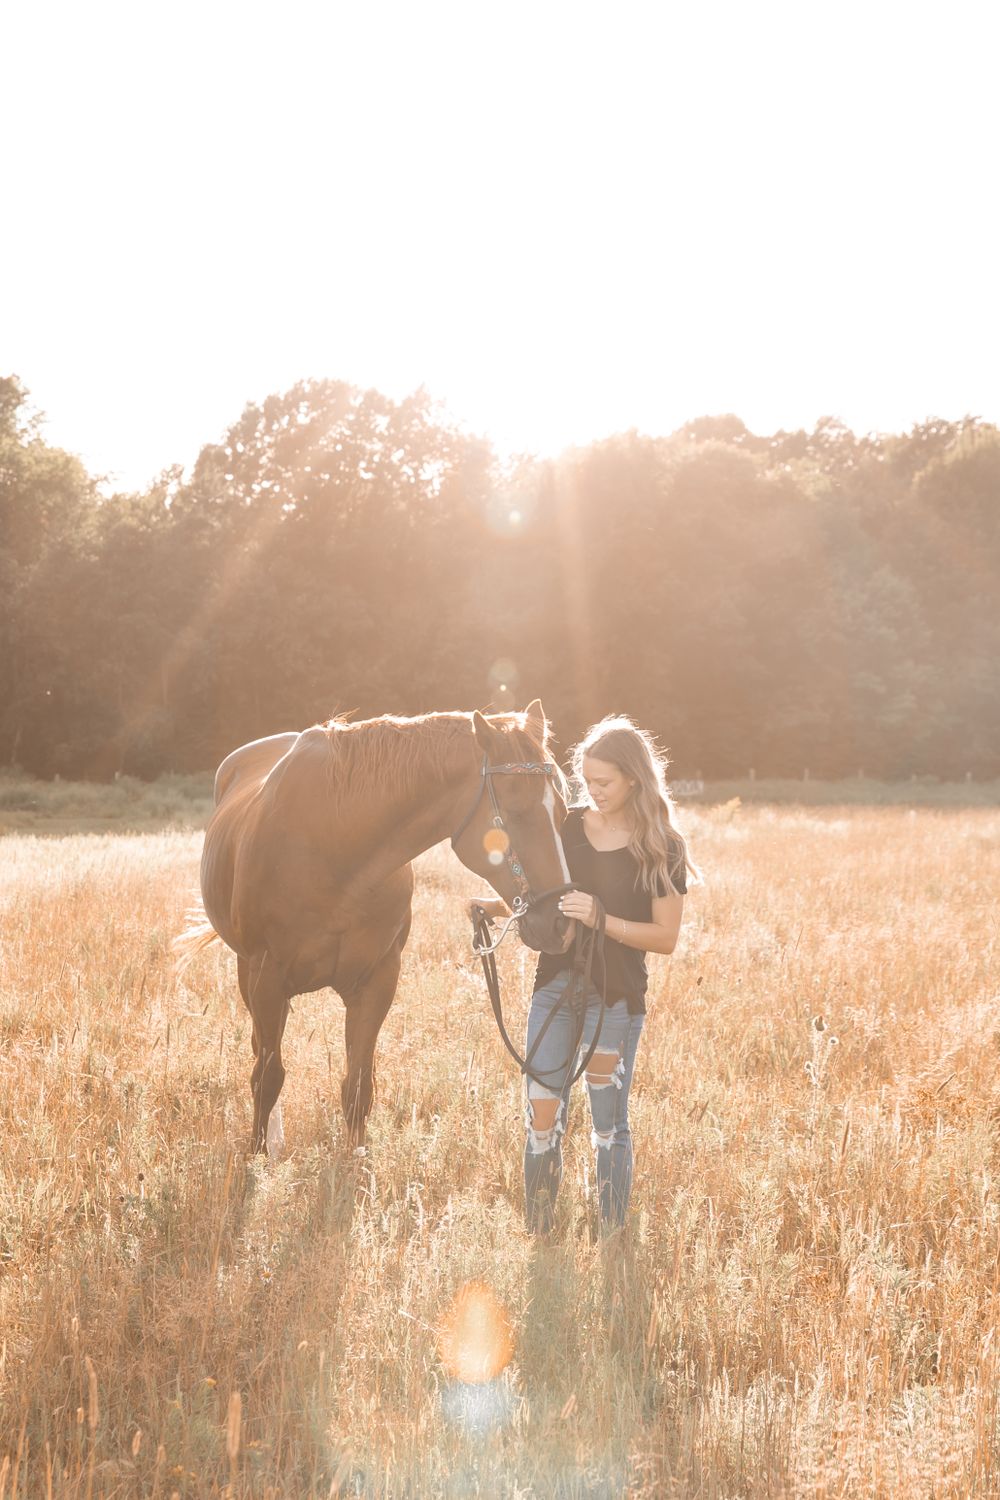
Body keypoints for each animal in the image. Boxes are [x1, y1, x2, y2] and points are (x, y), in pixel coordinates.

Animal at [175, 700, 573, 1154]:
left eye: (563, 810)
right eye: (515, 809)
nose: (559, 922)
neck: (338, 846)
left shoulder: (378, 980)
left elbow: (358, 1087)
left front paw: (354, 1160)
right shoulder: (266, 977)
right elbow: (268, 1077)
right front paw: (257, 1157)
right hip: (248, 975)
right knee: (262, 1054)